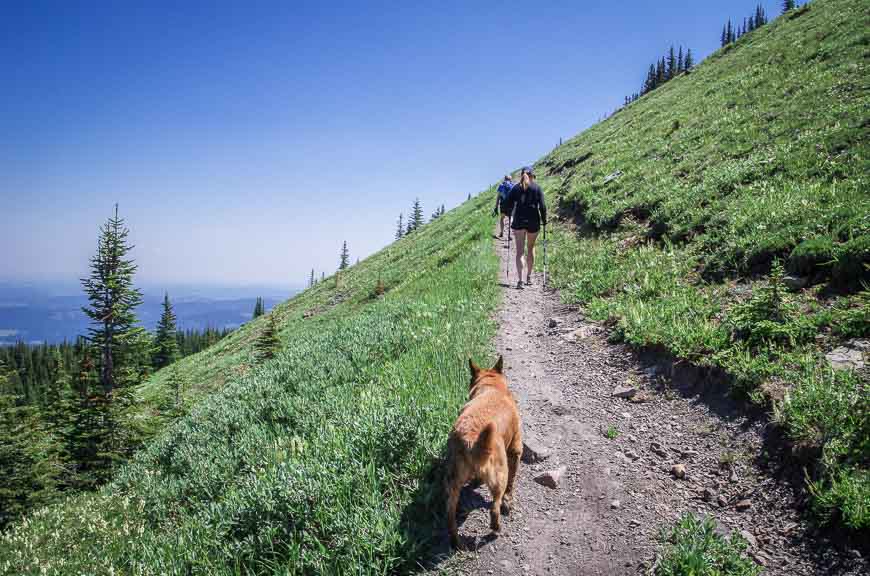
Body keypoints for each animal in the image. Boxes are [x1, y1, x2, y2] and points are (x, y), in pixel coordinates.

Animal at [446, 356, 520, 548]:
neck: (491, 386)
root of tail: (471, 441)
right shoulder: (515, 449)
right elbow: (511, 483)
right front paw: (509, 500)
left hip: (453, 484)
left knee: (449, 516)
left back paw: (456, 541)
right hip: (499, 475)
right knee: (494, 507)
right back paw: (496, 527)